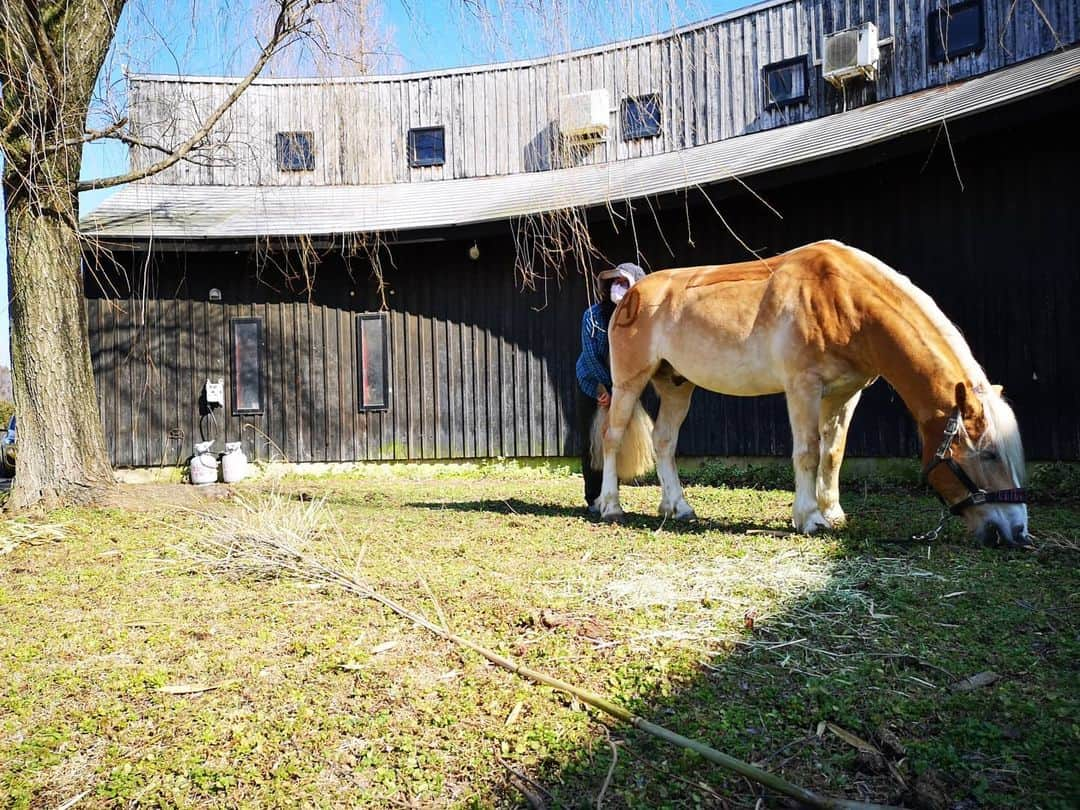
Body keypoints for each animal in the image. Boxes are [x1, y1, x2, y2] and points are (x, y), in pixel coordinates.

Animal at [600, 237, 1028, 548]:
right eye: (988, 454)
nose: (1018, 533)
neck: (843, 299)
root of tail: (631, 294)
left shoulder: (845, 394)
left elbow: (833, 453)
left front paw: (833, 511)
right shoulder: (802, 387)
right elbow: (807, 451)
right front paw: (809, 517)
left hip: (676, 385)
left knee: (664, 441)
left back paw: (677, 506)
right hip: (629, 383)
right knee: (612, 437)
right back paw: (610, 506)